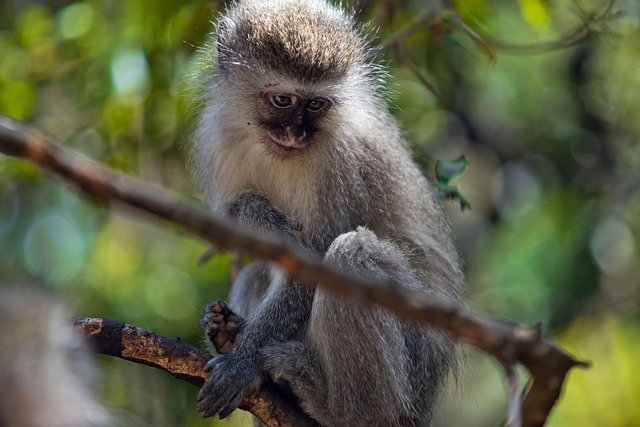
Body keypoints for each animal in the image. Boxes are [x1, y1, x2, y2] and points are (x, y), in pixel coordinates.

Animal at [192, 1, 462, 426]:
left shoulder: (341, 164)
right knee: (257, 272)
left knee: (352, 254)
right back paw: (231, 337)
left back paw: (337, 408)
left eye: (316, 104)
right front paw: (255, 213)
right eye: (283, 101)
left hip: (417, 367)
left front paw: (241, 364)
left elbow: (310, 270)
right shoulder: (219, 140)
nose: (295, 134)